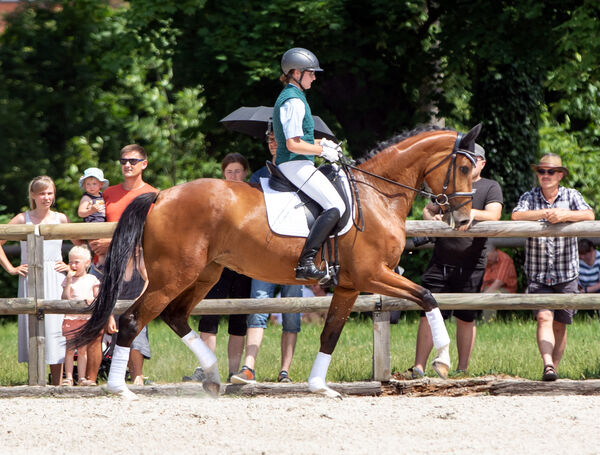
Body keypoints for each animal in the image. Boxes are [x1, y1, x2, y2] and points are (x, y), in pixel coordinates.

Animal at [72, 124, 480, 400]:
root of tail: (160, 196)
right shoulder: (372, 275)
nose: (463, 220)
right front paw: (443, 358)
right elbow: (427, 296)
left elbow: (330, 333)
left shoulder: (350, 285)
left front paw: (319, 386)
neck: (378, 194)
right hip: (173, 274)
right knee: (133, 319)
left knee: (175, 316)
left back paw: (213, 373)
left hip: (205, 273)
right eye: (463, 169)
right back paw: (121, 389)